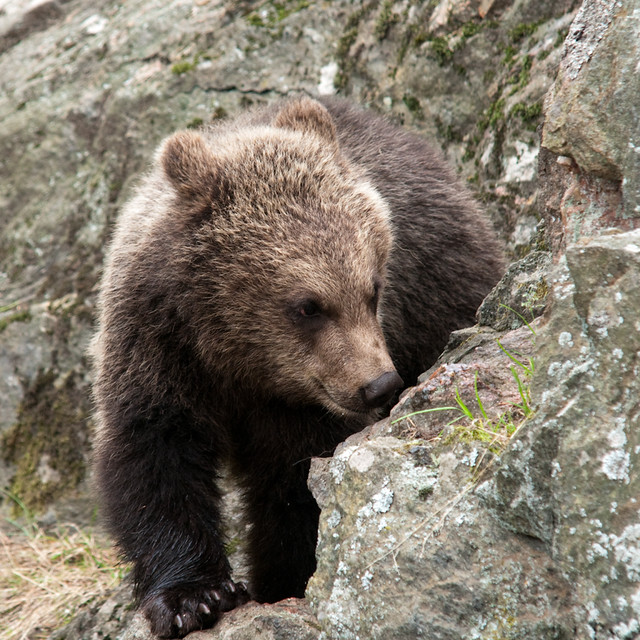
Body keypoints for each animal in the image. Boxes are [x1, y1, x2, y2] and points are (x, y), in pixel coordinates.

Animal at [91, 96, 504, 638]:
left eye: (373, 288)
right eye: (308, 305)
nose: (380, 385)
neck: (237, 359)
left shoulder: (303, 405)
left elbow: (295, 490)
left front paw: (286, 577)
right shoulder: (157, 349)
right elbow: (154, 460)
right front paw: (193, 597)